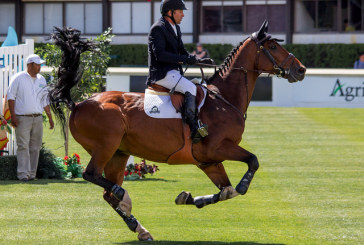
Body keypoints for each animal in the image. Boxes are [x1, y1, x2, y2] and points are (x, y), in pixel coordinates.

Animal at [47, 21, 304, 241]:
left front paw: (188, 198)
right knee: (91, 175)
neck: (223, 99)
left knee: (106, 193)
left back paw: (139, 228)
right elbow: (252, 162)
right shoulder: (218, 148)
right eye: (273, 46)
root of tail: (79, 104)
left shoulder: (208, 160)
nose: (301, 69)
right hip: (106, 146)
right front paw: (242, 185)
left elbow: (227, 191)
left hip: (118, 154)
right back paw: (123, 196)